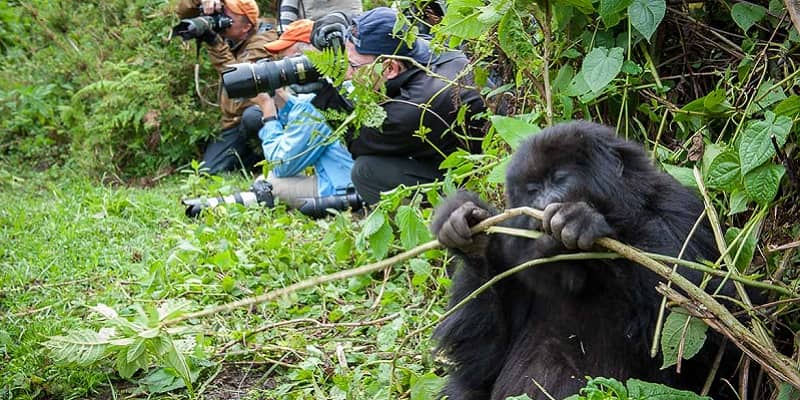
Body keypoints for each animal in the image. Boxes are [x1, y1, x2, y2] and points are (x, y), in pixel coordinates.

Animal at [432, 122, 744, 400]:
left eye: (559, 178)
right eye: (533, 190)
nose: (541, 204)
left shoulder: (682, 210)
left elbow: (711, 328)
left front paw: (582, 220)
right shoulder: (513, 256)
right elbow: (482, 361)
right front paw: (471, 237)